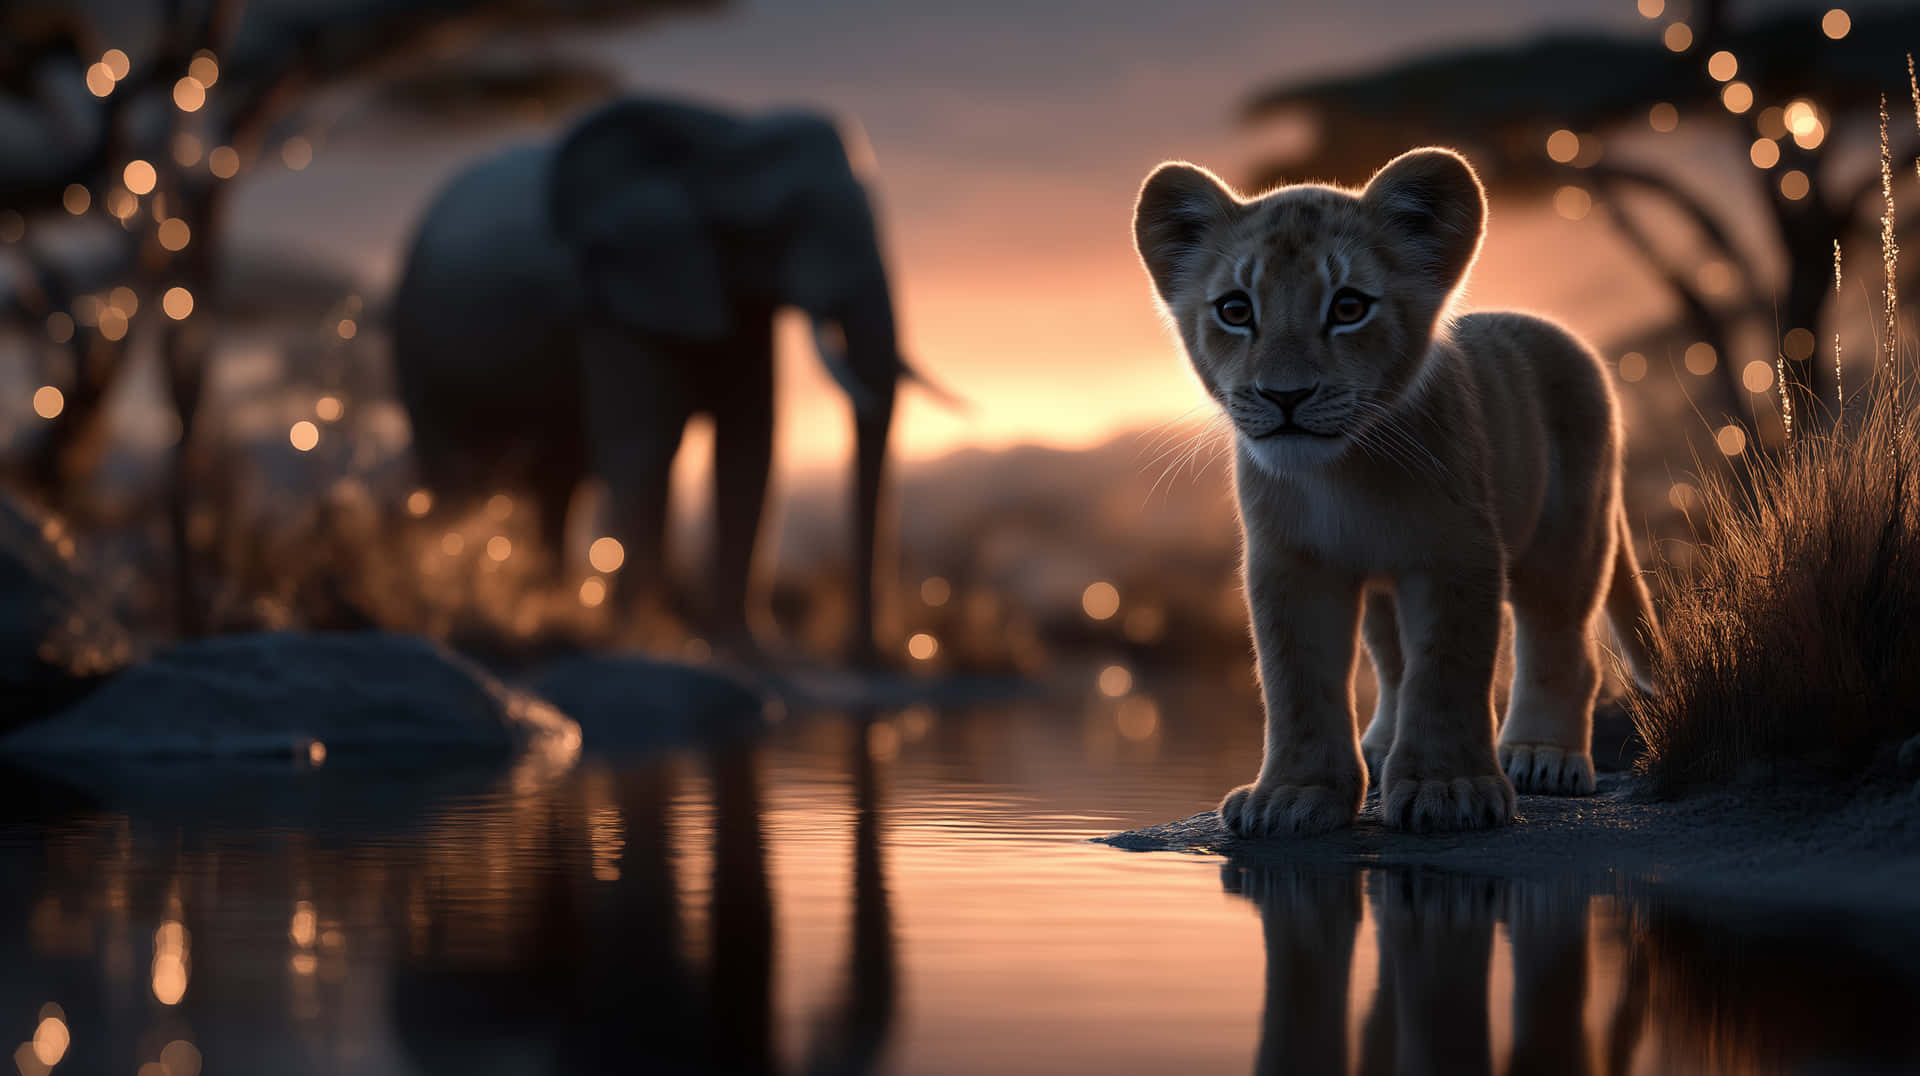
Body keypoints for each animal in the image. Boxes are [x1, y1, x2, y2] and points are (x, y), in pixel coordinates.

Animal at [391, 97, 923, 662]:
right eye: (784, 219)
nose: (868, 656)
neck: (717, 136)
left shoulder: (733, 298)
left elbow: (747, 448)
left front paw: (746, 651)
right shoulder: (614, 298)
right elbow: (645, 448)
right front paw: (639, 641)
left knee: (557, 485)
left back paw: (546, 608)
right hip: (415, 339)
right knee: (453, 475)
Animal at [1131, 147, 1661, 835]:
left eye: (1348, 307)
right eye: (1236, 309)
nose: (1284, 396)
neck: (1343, 474)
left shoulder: (1456, 553)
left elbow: (1446, 670)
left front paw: (1449, 789)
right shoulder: (1292, 563)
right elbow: (1298, 680)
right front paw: (1294, 795)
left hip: (1568, 536)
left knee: (1560, 642)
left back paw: (1543, 755)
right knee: (1391, 659)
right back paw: (1383, 746)